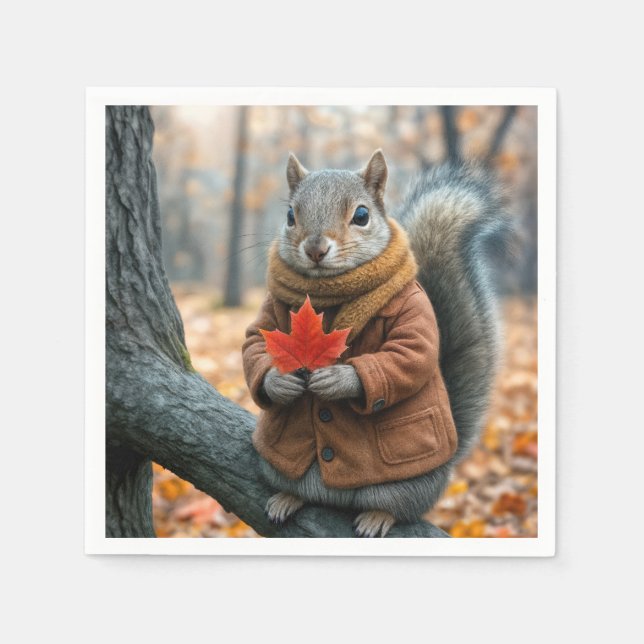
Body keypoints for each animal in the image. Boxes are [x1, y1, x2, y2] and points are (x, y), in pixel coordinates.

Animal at [242, 150, 512, 537]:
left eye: (362, 215)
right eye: (291, 215)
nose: (315, 248)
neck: (328, 293)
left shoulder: (414, 309)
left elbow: (411, 352)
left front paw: (339, 379)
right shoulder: (270, 311)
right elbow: (255, 341)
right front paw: (279, 382)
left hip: (406, 484)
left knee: (402, 506)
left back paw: (377, 517)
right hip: (279, 466)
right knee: (295, 484)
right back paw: (287, 498)